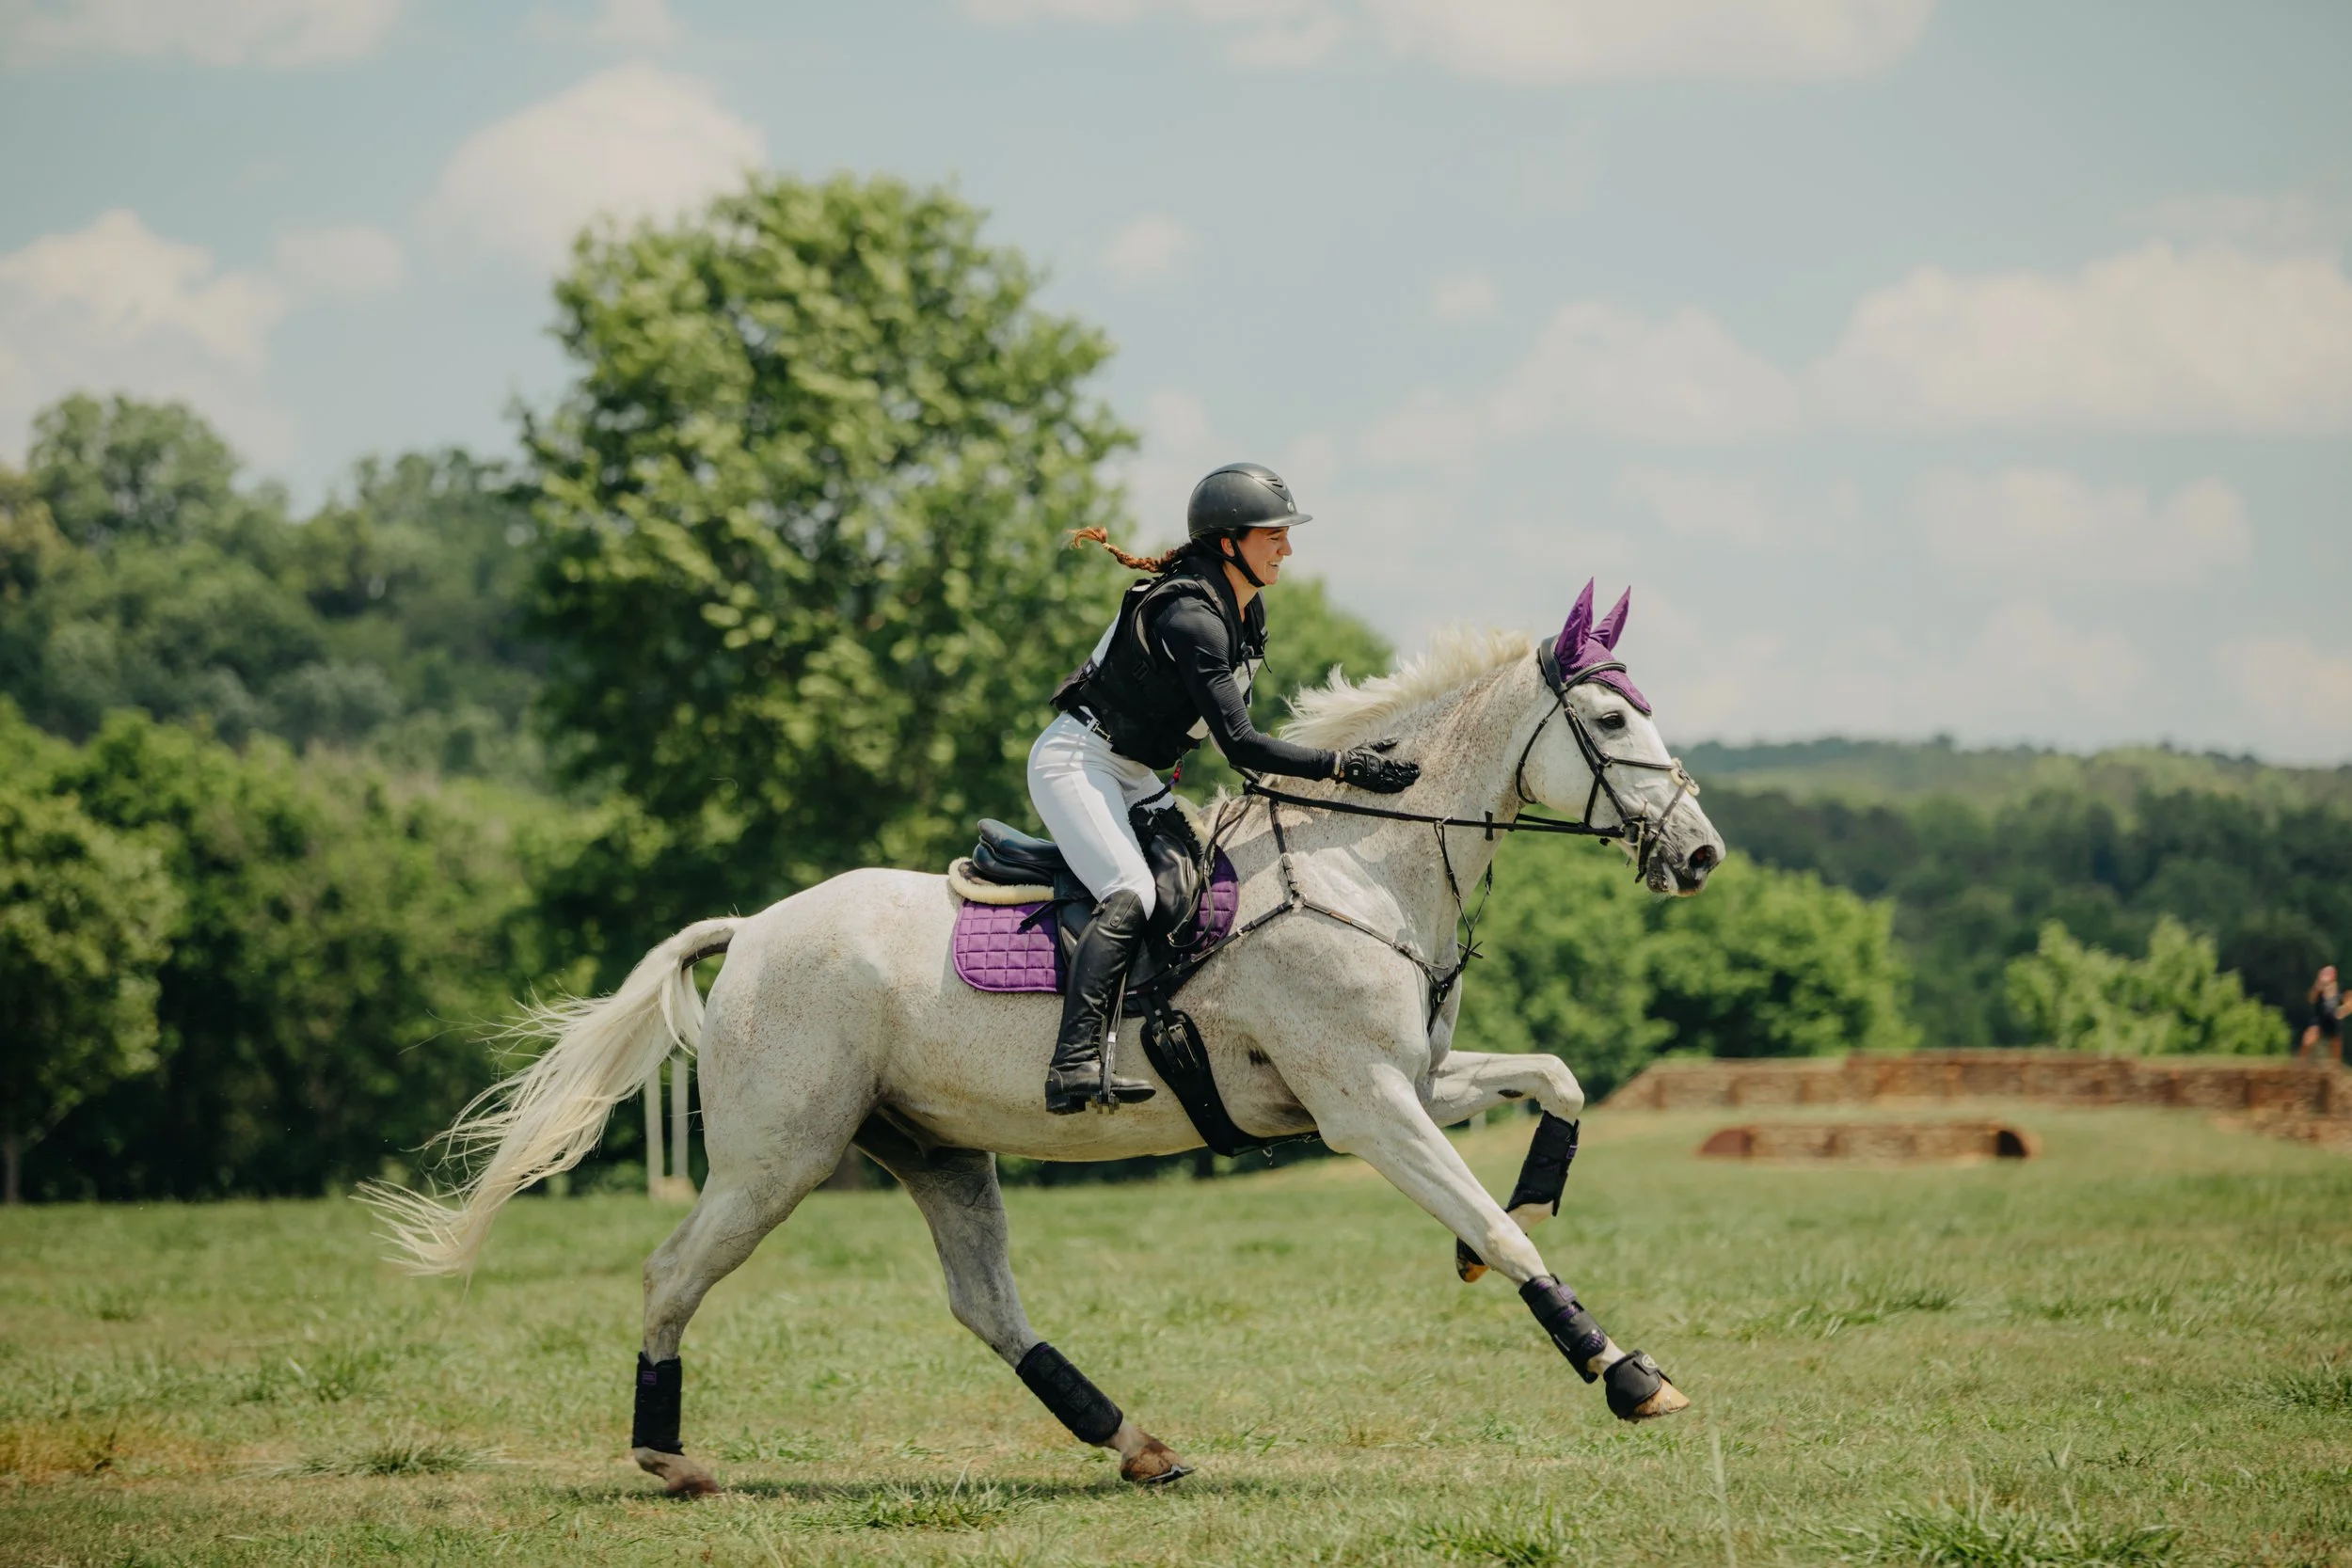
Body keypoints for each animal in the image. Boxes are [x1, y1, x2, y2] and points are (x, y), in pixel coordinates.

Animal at [363, 580, 1726, 1496]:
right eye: (1611, 722)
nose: (1702, 852)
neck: (1361, 863)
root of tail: (753, 929)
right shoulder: (1364, 1104)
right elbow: (1500, 1226)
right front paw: (1625, 1369)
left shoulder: (1413, 1078)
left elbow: (1556, 1085)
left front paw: (1522, 1210)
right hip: (779, 1157)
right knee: (670, 1272)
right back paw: (667, 1453)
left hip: (933, 1147)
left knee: (984, 1302)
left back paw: (1137, 1440)